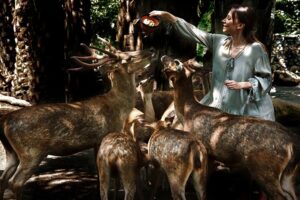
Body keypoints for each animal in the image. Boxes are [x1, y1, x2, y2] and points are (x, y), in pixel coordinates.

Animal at [0, 38, 154, 199]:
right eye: (128, 57)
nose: (151, 50)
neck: (119, 108)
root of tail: (4, 121)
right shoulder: (102, 136)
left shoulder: (96, 142)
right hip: (31, 152)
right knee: (15, 183)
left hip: (12, 152)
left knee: (3, 179)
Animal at [161, 55, 300, 200]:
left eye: (175, 62)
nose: (164, 56)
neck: (188, 113)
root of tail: (293, 144)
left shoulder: (205, 151)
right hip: (288, 174)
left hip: (265, 168)